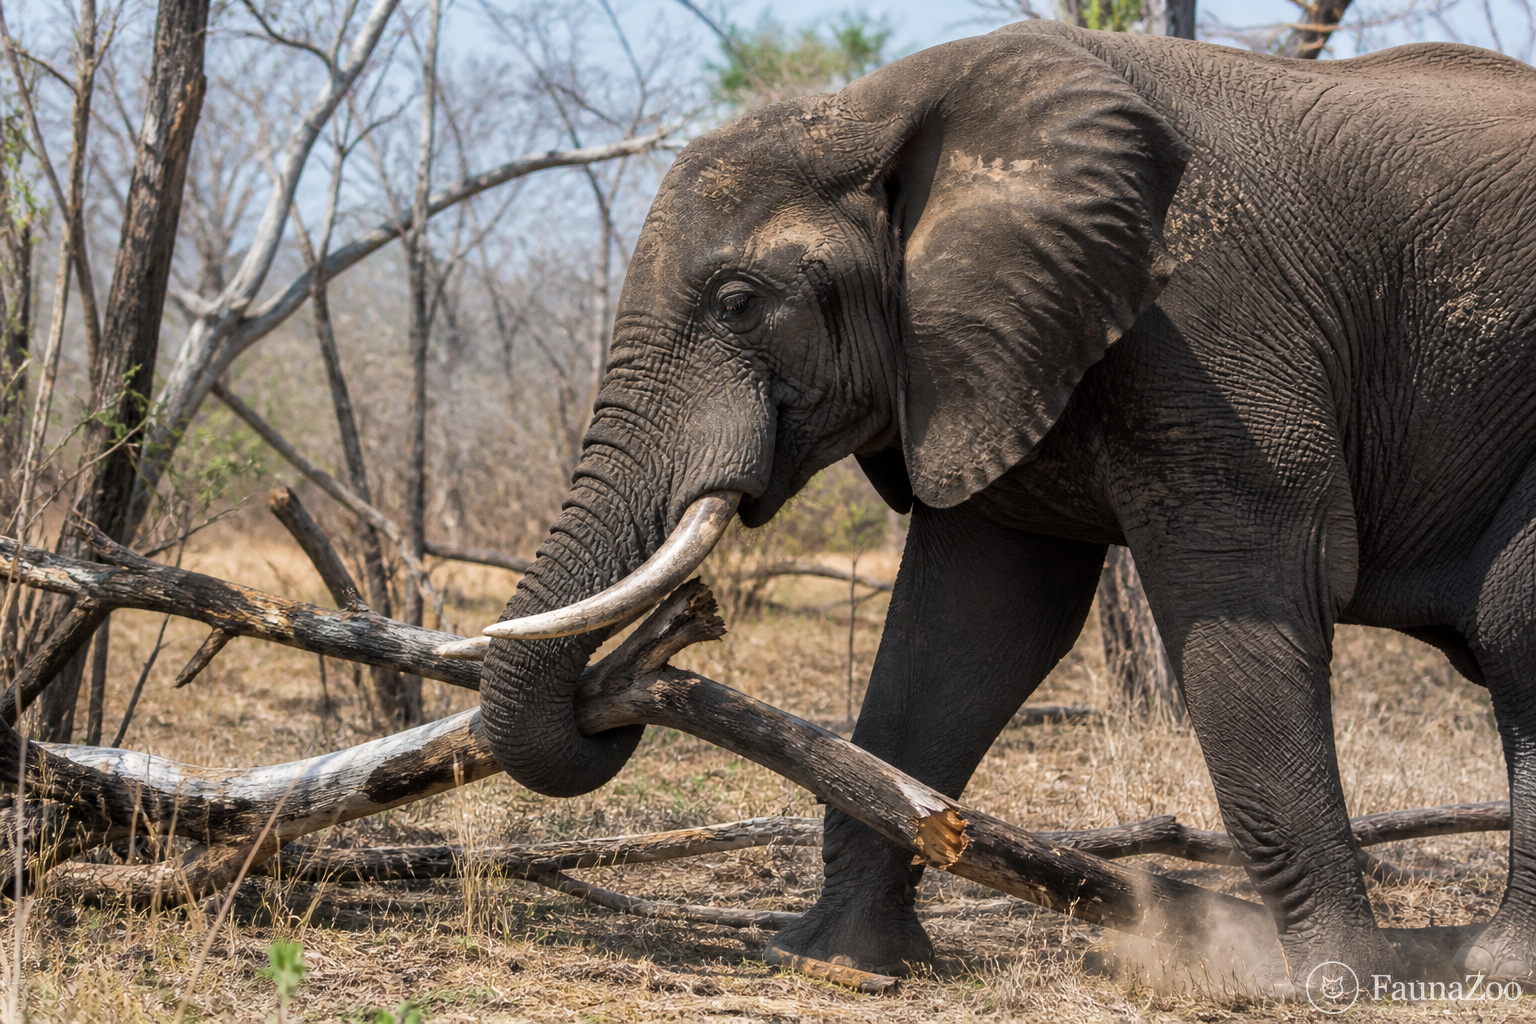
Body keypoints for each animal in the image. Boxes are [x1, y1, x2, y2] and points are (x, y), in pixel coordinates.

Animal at [476, 20, 1536, 993]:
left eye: (739, 302)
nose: (619, 703)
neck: (874, 109)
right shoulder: (982, 354)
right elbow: (969, 627)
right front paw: (841, 966)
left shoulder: (1213, 324)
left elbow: (1247, 601)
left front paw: (1335, 986)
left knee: (1509, 627)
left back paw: (1494, 964)